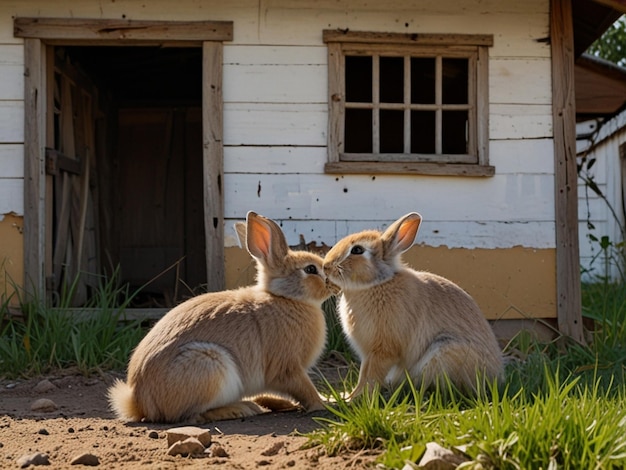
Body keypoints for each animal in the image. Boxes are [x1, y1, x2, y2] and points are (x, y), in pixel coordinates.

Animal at [108, 211, 334, 424]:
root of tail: (140, 403)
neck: (285, 297)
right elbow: (304, 389)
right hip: (210, 367)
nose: (332, 283)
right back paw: (241, 409)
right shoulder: (288, 368)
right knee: (192, 416)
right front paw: (323, 405)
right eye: (310, 269)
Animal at [322, 214, 502, 400]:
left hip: (445, 352)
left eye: (357, 250)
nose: (325, 266)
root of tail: (495, 377)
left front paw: (357, 398)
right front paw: (348, 396)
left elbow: (371, 375)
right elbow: (364, 374)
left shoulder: (383, 349)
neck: (376, 283)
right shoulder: (368, 353)